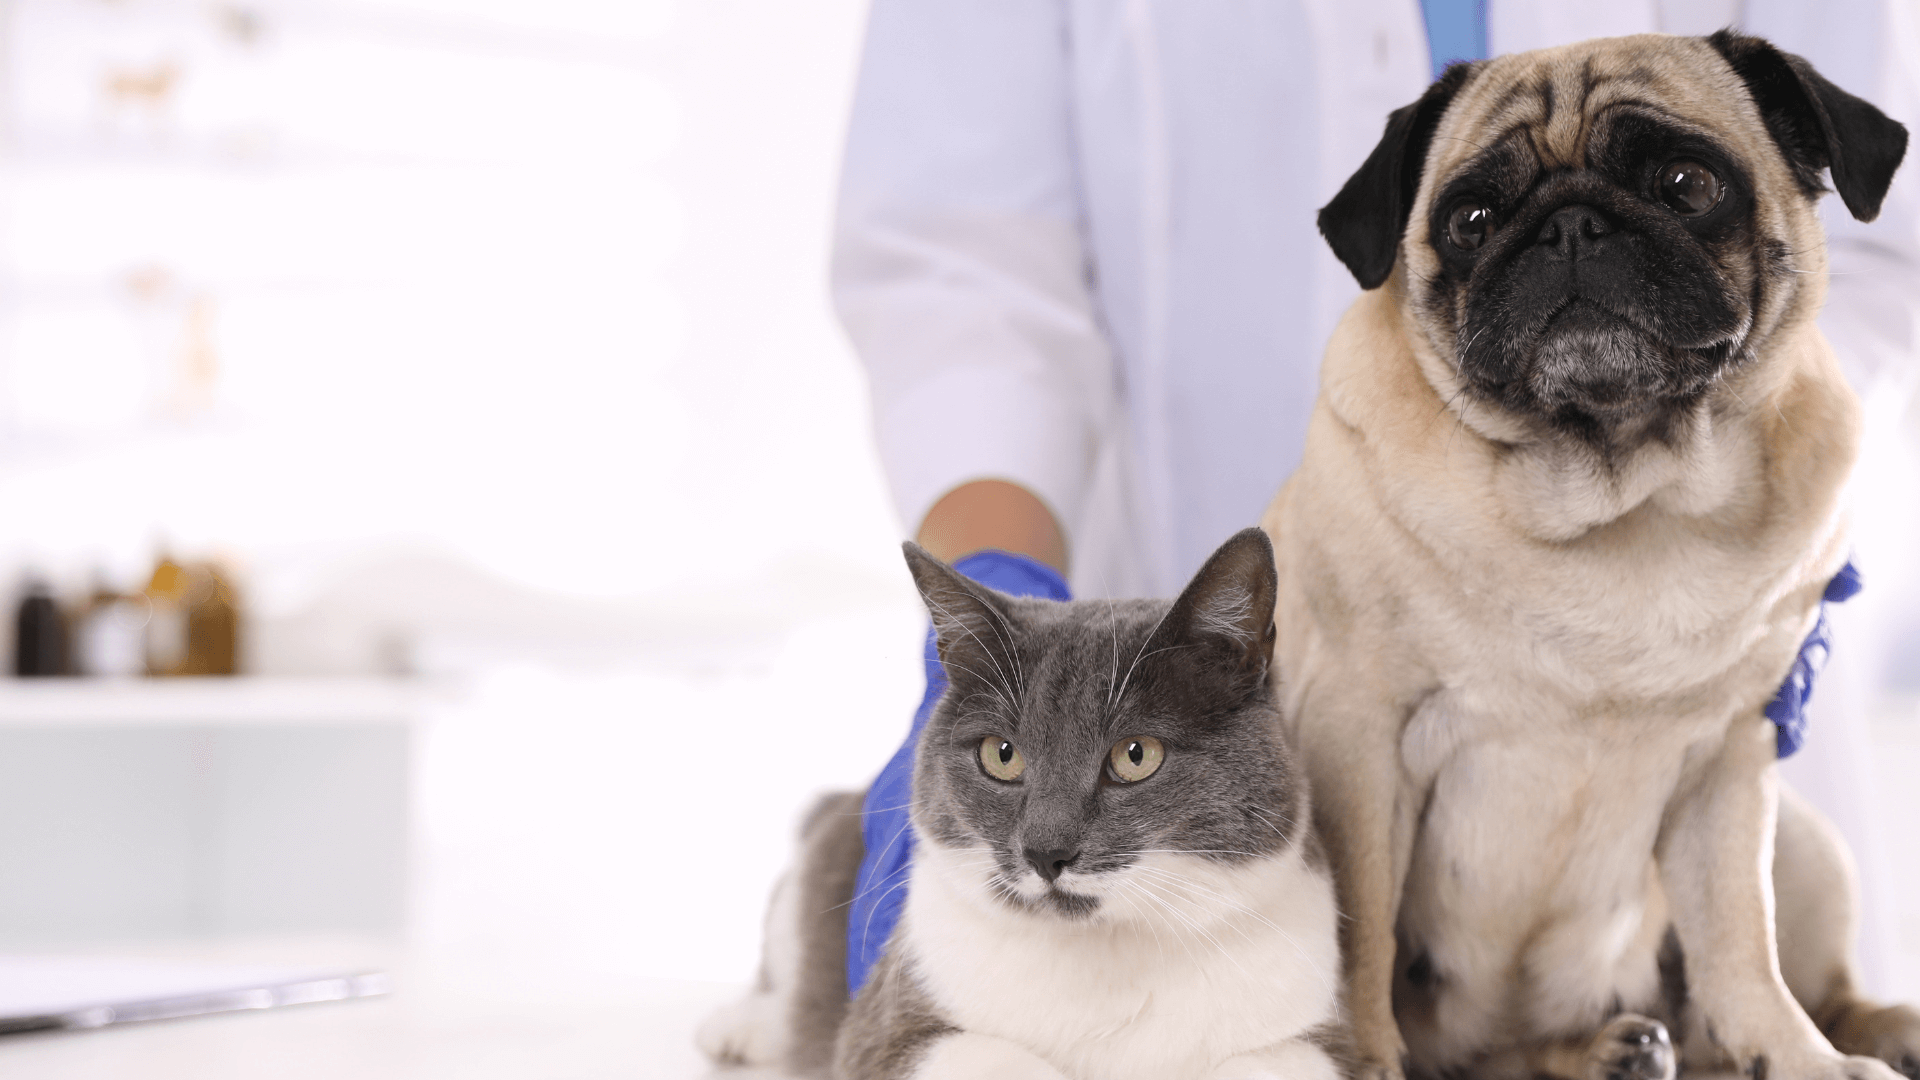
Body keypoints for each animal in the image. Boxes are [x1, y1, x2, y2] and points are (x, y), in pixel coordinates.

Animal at [698, 526, 1344, 1068]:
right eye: (1002, 755)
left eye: (1136, 755)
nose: (1045, 851)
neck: (1107, 954)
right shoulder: (890, 1026)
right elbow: (986, 1055)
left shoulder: (1317, 1031)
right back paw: (743, 1028)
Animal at [1259, 25, 1920, 1080]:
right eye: (1473, 219)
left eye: (1688, 183)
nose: (1570, 226)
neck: (1620, 492)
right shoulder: (1357, 737)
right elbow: (1357, 947)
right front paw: (1364, 1062)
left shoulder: (1734, 760)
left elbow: (1740, 941)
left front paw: (1796, 1057)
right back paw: (1600, 1049)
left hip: (1806, 841)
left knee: (1798, 978)